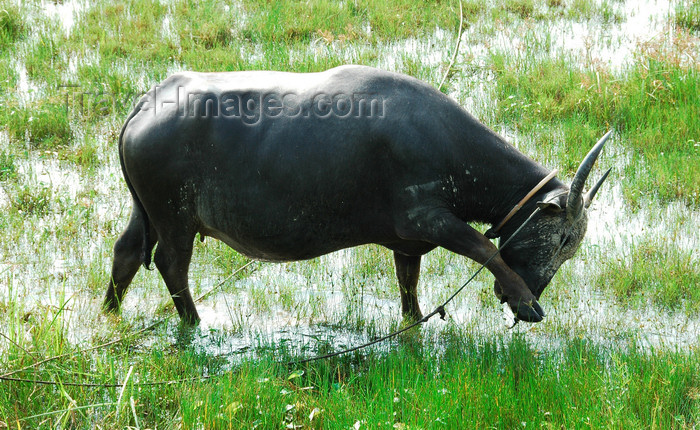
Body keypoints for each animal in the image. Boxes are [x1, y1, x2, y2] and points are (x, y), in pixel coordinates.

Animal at [101, 65, 608, 324]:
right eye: (563, 240)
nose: (536, 286)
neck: (440, 141)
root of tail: (148, 101)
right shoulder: (430, 220)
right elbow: (486, 248)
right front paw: (525, 300)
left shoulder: (408, 243)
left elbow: (409, 286)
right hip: (174, 219)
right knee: (171, 265)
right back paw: (194, 324)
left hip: (147, 212)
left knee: (126, 252)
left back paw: (110, 313)